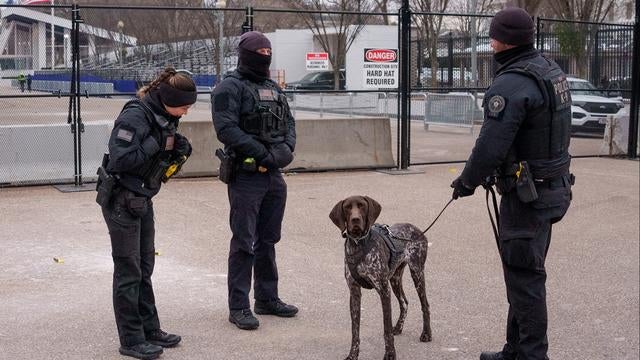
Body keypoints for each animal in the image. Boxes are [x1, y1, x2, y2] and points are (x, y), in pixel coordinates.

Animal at [330, 197, 430, 360]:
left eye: (362, 206)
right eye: (347, 207)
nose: (355, 219)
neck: (358, 244)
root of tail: (417, 229)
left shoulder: (383, 290)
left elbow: (386, 329)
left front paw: (390, 354)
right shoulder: (354, 292)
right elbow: (355, 330)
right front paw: (353, 354)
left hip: (417, 272)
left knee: (425, 305)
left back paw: (427, 334)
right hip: (395, 278)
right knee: (404, 302)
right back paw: (399, 327)